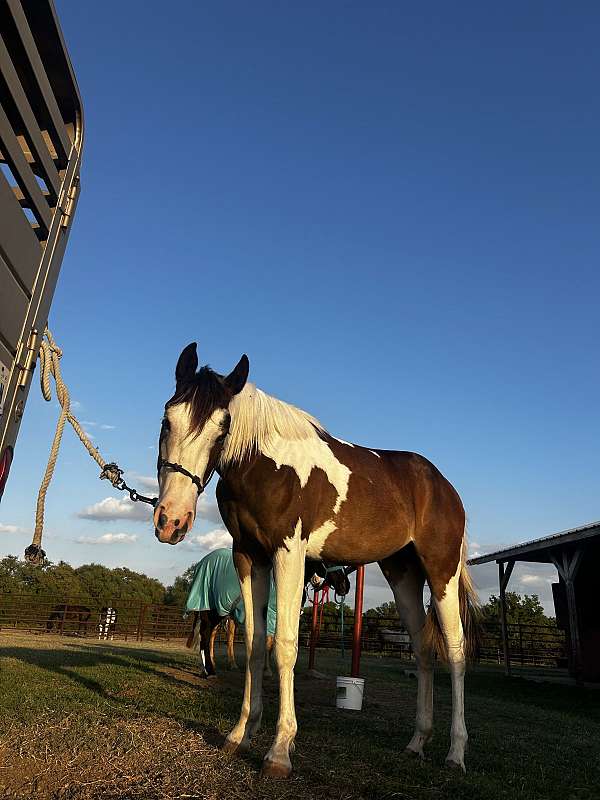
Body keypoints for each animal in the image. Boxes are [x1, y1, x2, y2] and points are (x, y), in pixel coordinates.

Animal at [153, 344, 477, 777]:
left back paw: (456, 753)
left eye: (222, 429)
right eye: (167, 420)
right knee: (424, 651)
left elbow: (285, 646)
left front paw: (280, 750)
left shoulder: (289, 553)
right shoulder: (248, 556)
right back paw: (417, 742)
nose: (171, 520)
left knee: (455, 653)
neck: (265, 464)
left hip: (441, 573)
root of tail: (443, 486)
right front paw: (240, 734)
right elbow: (256, 645)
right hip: (403, 575)